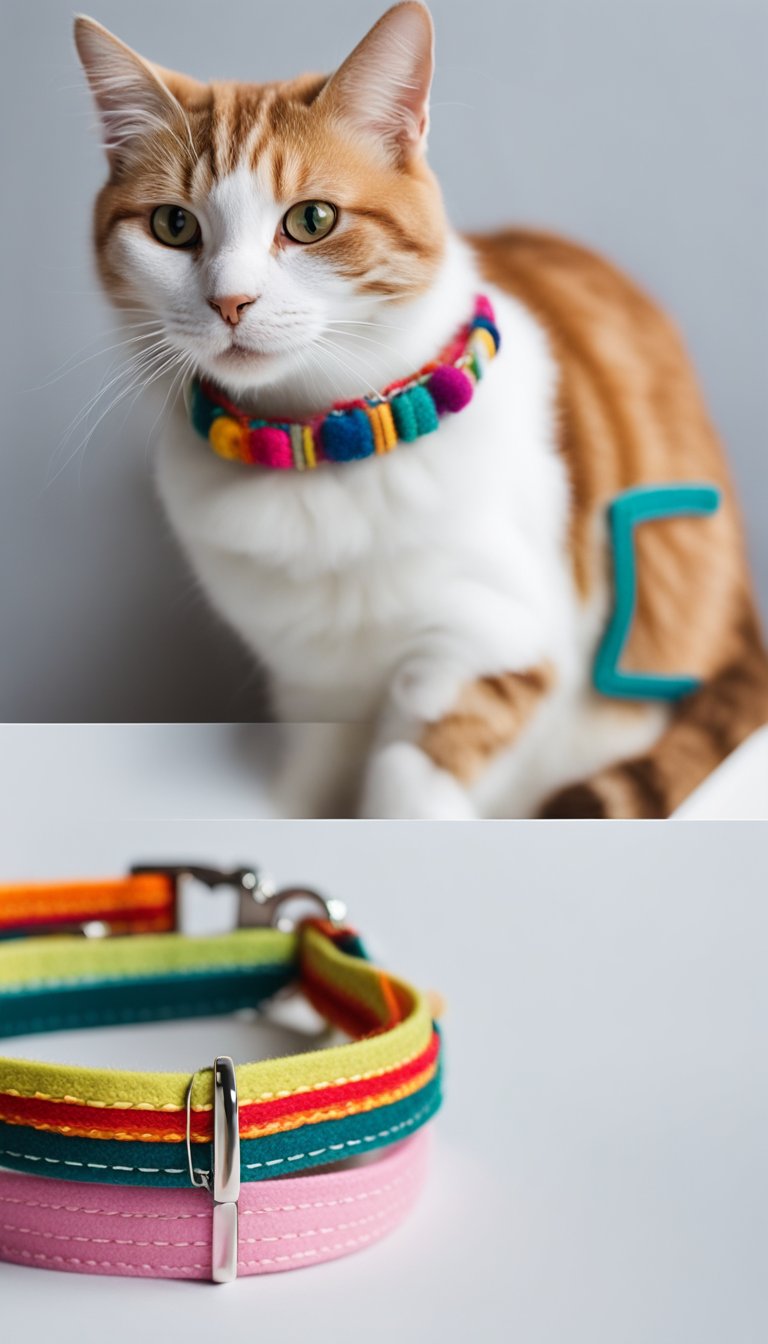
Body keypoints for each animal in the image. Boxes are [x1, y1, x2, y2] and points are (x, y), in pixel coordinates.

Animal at [76, 2, 768, 817]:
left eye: (312, 220)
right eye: (174, 227)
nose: (231, 301)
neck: (320, 441)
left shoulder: (495, 640)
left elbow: (408, 783)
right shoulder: (310, 683)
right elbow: (304, 786)